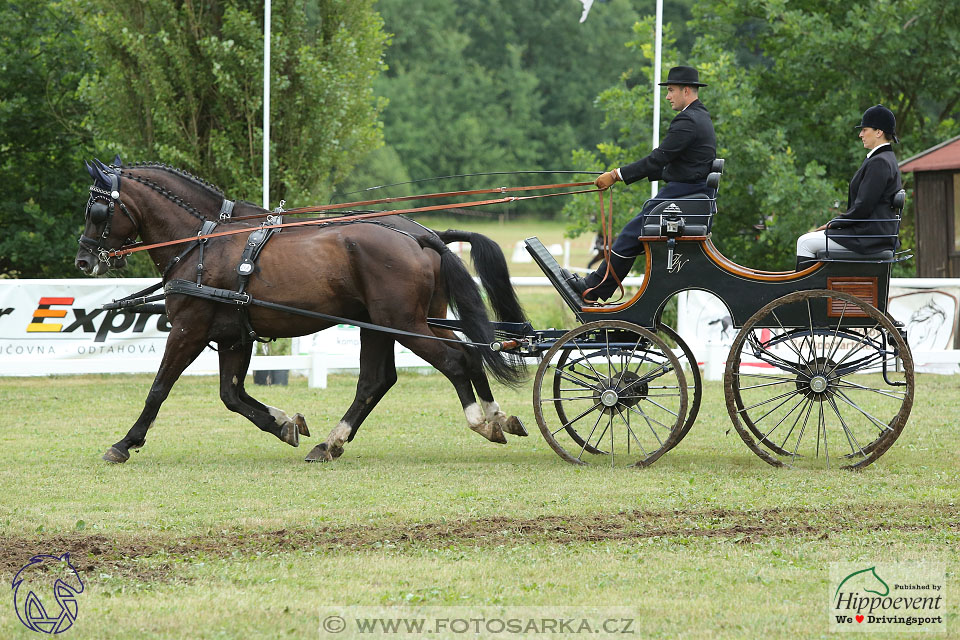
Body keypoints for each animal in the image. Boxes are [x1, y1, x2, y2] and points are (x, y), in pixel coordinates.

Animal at [74, 158, 524, 462]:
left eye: (96, 208)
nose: (84, 260)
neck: (203, 243)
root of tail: (423, 236)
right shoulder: (233, 336)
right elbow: (232, 395)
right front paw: (284, 423)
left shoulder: (189, 329)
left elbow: (159, 388)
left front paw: (125, 442)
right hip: (396, 324)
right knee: (401, 374)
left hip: (401, 324)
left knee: (453, 361)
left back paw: (481, 420)